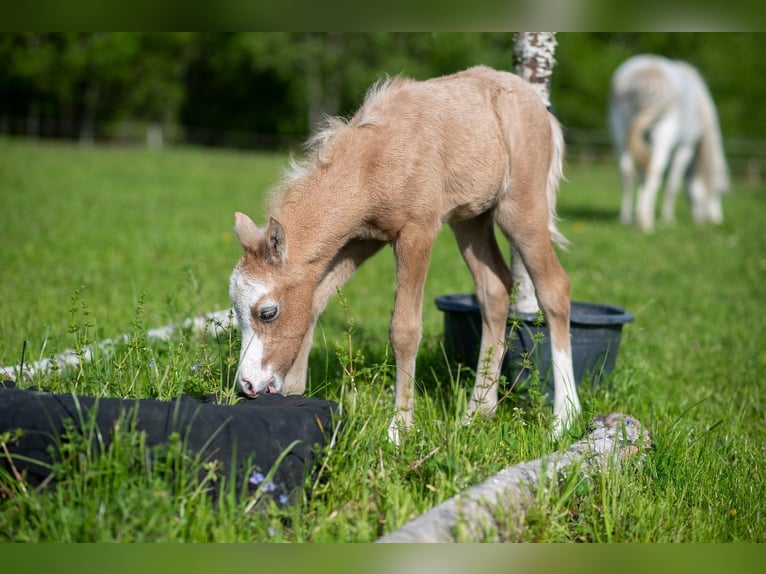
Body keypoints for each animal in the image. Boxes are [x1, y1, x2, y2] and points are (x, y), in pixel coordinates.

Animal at [608, 54, 728, 232]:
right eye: (719, 191)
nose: (716, 220)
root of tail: (645, 75)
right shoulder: (685, 147)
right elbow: (673, 183)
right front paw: (668, 219)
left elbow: (643, 178)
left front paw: (640, 210)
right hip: (663, 134)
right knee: (654, 170)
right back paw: (646, 223)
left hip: (621, 132)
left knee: (627, 173)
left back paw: (626, 219)